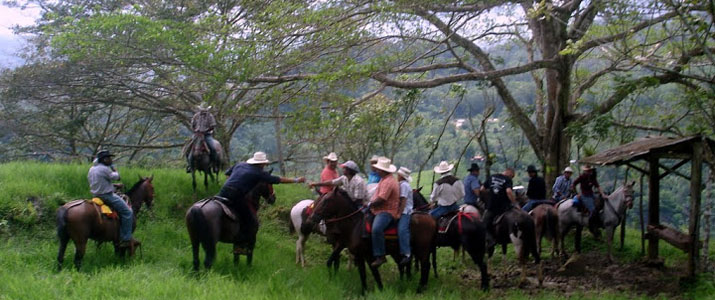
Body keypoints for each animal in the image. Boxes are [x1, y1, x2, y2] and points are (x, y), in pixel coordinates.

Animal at [304, 189, 436, 294]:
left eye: (326, 200)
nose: (311, 218)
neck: (355, 226)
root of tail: (431, 219)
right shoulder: (360, 255)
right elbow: (364, 273)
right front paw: (367, 291)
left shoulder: (367, 255)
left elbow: (372, 272)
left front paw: (377, 289)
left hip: (422, 250)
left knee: (424, 266)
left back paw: (419, 289)